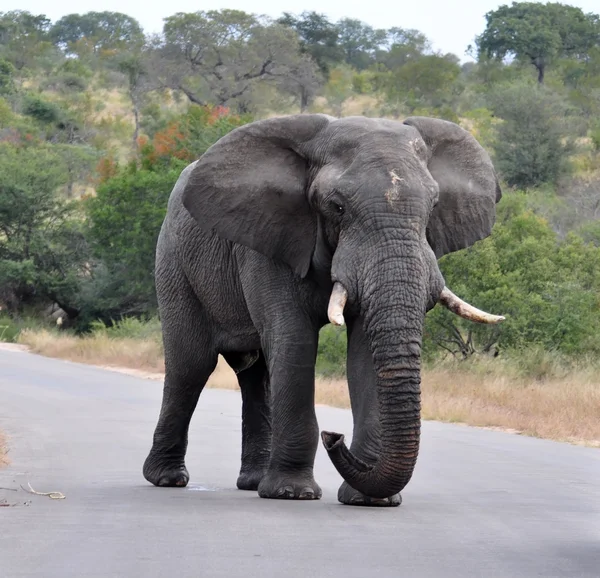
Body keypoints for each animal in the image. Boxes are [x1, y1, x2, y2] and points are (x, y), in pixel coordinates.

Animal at [143, 112, 504, 504]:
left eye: (434, 206)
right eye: (338, 207)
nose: (334, 436)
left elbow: (362, 353)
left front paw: (368, 500)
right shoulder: (271, 238)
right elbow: (294, 340)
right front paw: (292, 493)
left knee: (255, 376)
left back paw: (253, 483)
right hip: (173, 260)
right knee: (191, 365)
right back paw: (167, 479)